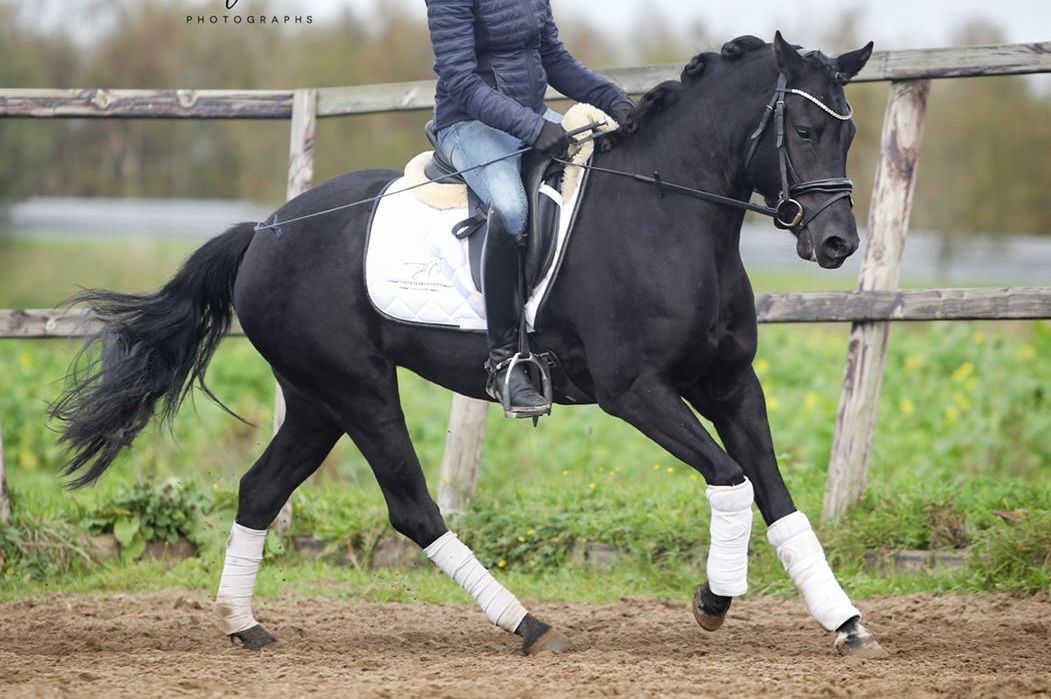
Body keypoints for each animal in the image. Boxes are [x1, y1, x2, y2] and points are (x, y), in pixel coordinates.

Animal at [52, 32, 884, 657]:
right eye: (803, 130)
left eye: (847, 130)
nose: (836, 242)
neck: (668, 210)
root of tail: (263, 231)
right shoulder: (636, 393)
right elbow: (729, 479)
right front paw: (713, 599)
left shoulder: (731, 384)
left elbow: (776, 496)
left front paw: (844, 620)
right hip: (359, 389)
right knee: (412, 507)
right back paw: (526, 623)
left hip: (317, 401)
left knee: (260, 489)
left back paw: (244, 624)